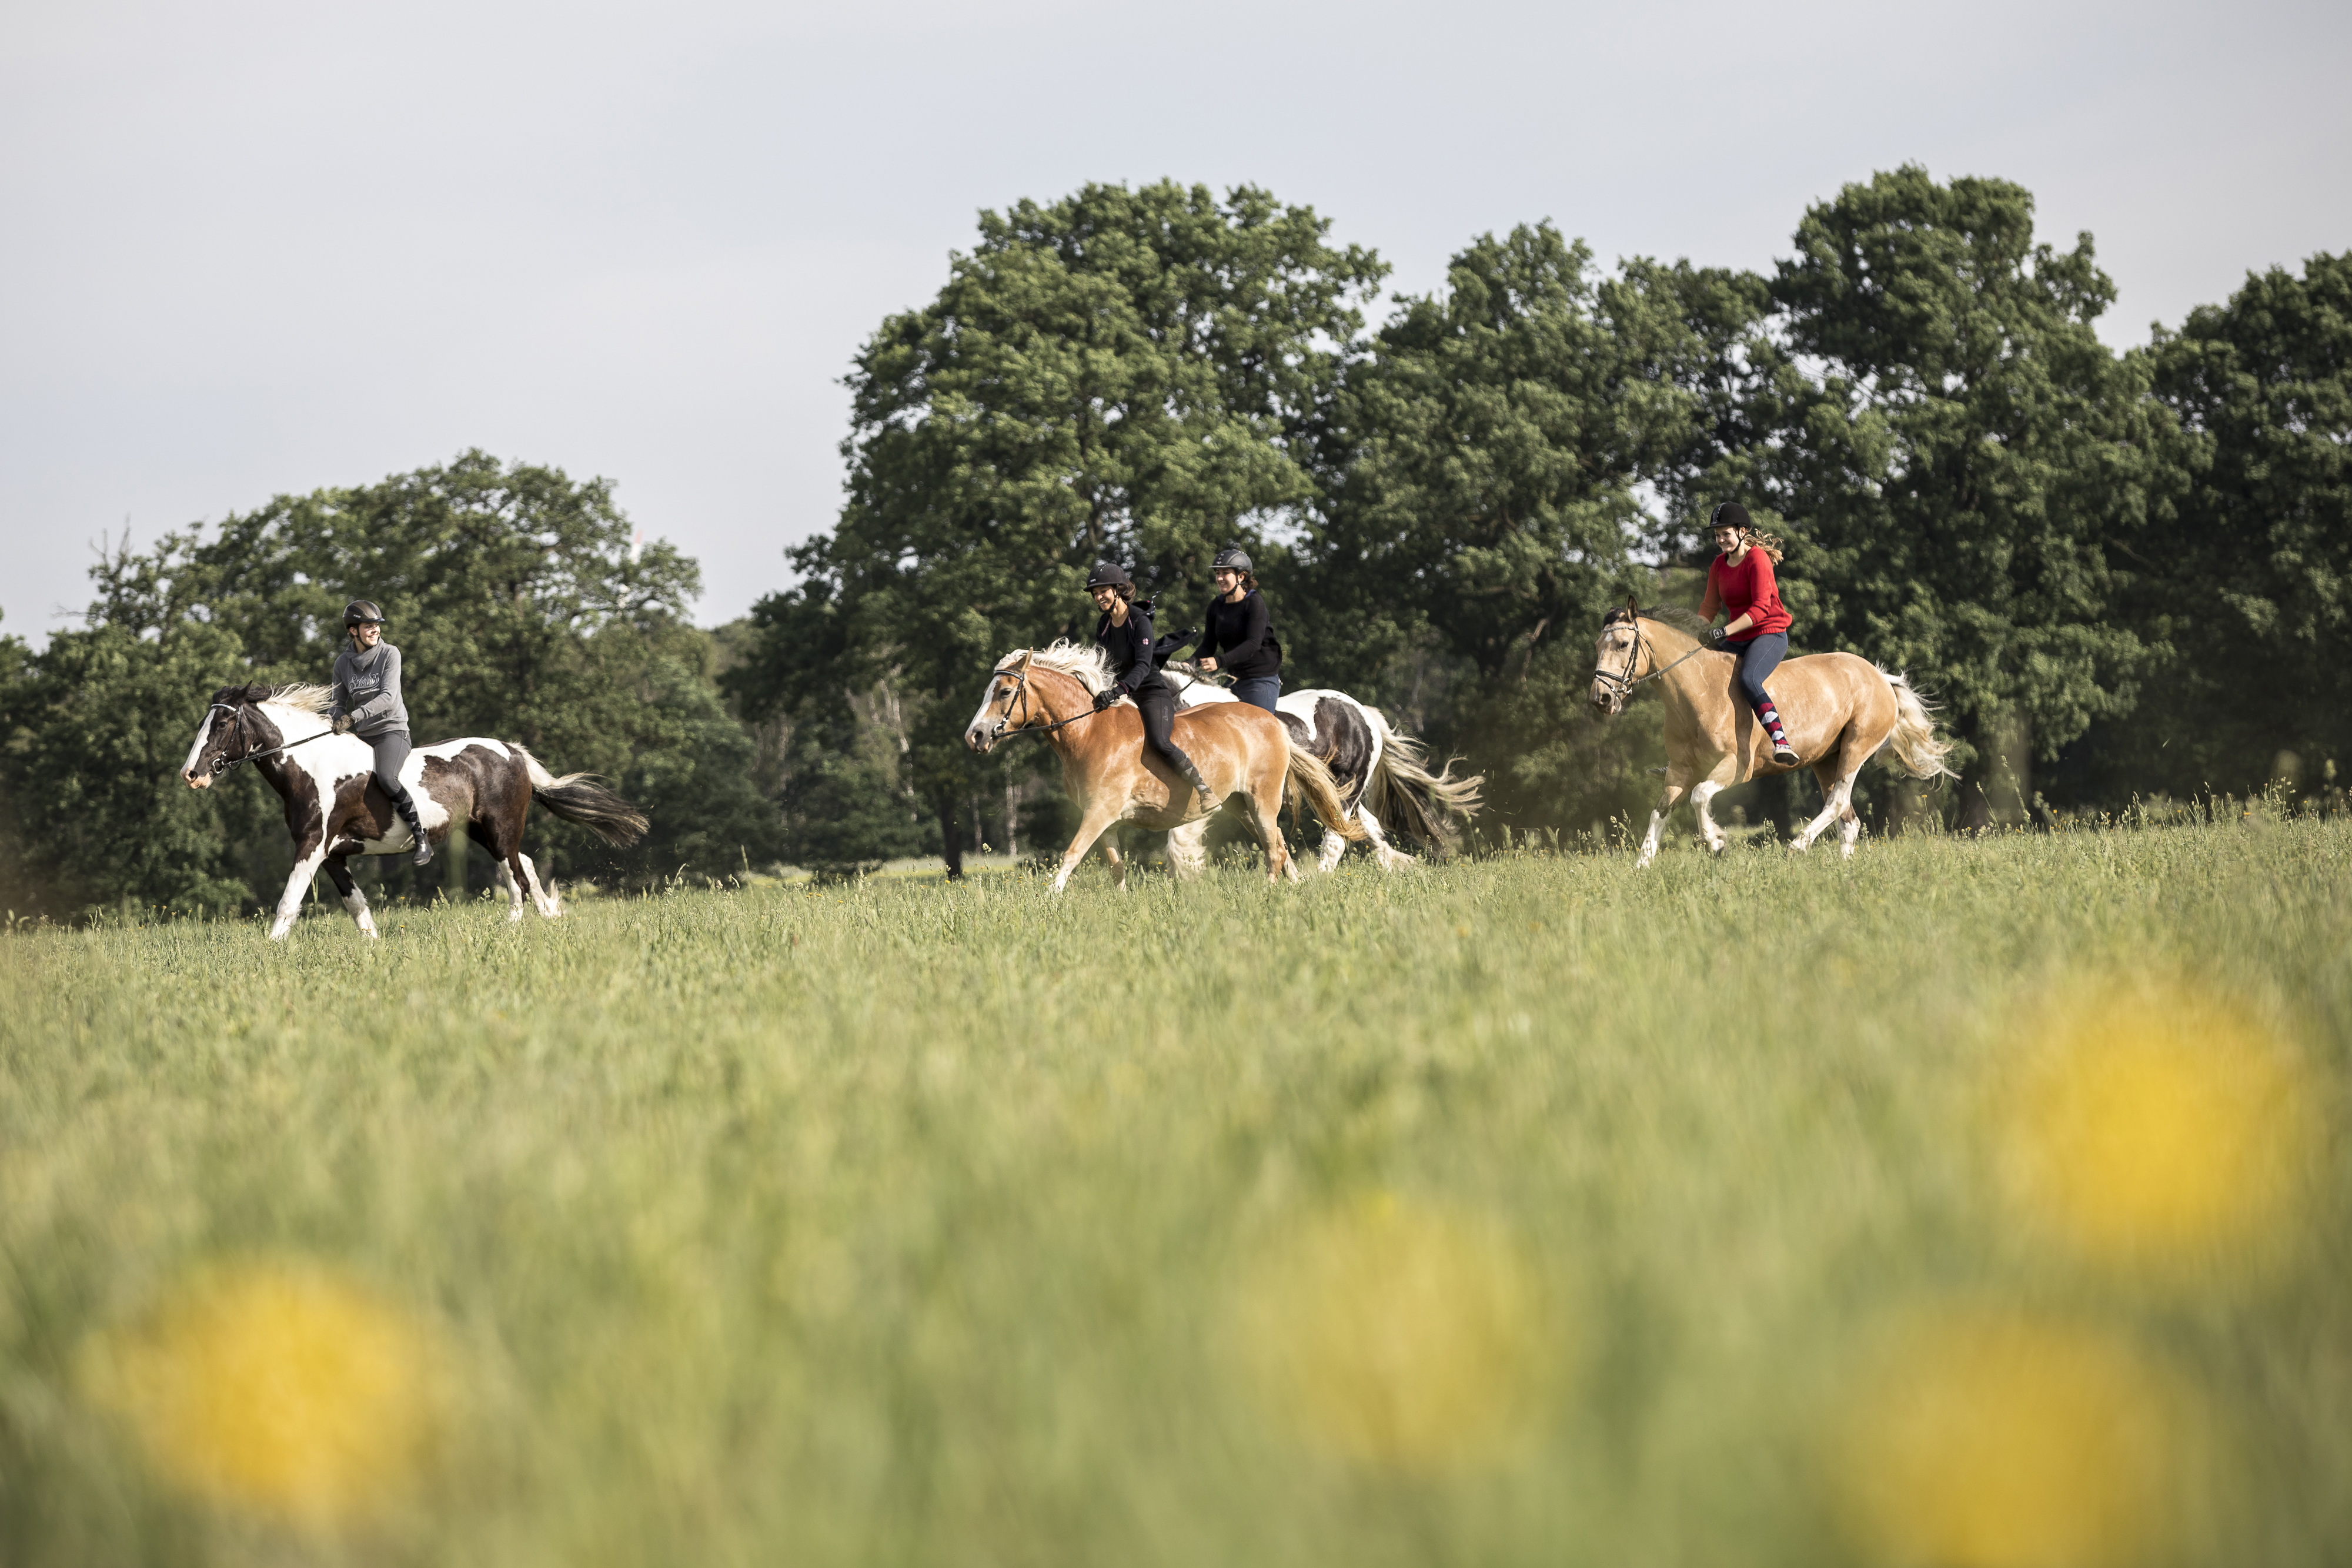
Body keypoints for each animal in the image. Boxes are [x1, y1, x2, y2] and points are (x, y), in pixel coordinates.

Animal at [181, 681, 654, 940]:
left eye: (222, 724)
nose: (191, 775)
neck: (311, 765)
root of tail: (513, 751)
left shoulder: (313, 847)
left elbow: (287, 903)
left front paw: (269, 951)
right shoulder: (333, 855)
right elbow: (358, 908)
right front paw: (374, 948)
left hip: (500, 830)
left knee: (515, 878)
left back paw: (521, 926)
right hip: (483, 831)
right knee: (528, 867)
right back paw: (542, 920)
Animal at [960, 639, 1374, 888]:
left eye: (1005, 692)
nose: (974, 736)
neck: (1089, 732)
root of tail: (1274, 723)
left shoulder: (1099, 812)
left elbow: (1071, 855)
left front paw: (1048, 900)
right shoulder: (1107, 820)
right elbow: (1116, 866)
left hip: (1264, 800)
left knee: (1280, 849)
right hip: (1242, 806)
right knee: (1282, 846)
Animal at [1162, 663, 1477, 879]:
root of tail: (1364, 713)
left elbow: (1179, 839)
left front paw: (1189, 879)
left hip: (1347, 786)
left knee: (1337, 838)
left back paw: (1319, 880)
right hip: (1337, 791)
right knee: (1368, 826)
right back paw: (1394, 866)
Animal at [1590, 606, 1957, 870]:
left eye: (1623, 644)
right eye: (1597, 646)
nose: (1601, 699)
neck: (1699, 691)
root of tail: (1880, 676)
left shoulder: (1736, 766)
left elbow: (1698, 797)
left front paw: (1717, 843)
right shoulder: (1680, 771)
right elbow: (1661, 811)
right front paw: (1642, 866)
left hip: (1856, 748)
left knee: (1837, 803)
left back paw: (1797, 846)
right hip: (1826, 759)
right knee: (1848, 820)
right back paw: (1843, 869)